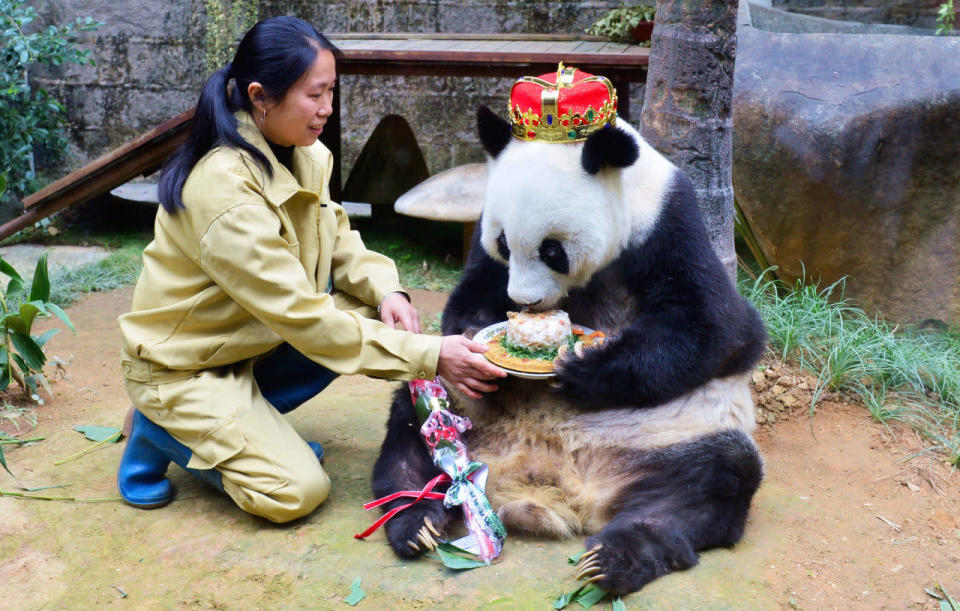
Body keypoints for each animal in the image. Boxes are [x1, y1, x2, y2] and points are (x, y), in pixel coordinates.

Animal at [372, 64, 768, 596]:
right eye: (504, 242)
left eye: (552, 250)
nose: (524, 302)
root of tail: (550, 480)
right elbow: (472, 291)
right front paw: (478, 345)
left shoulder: (668, 223)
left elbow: (716, 327)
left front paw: (584, 370)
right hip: (459, 413)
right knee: (410, 425)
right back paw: (414, 520)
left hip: (674, 430)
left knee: (712, 480)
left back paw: (615, 557)